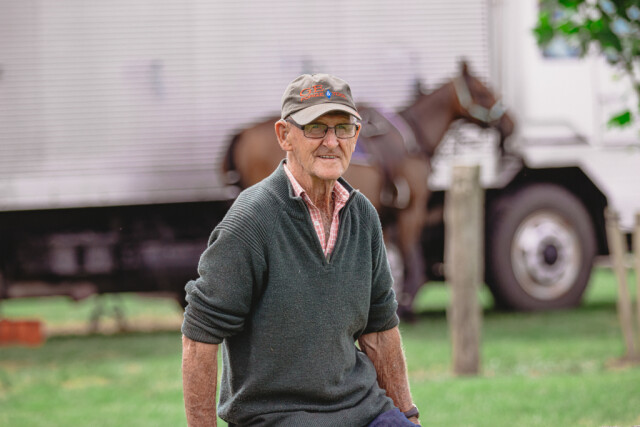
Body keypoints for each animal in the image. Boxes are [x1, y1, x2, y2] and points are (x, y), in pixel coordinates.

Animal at [222, 61, 514, 318]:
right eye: (483, 92)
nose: (510, 123)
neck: (415, 138)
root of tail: (242, 133)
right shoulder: (411, 210)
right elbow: (412, 257)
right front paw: (407, 307)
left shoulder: (388, 215)